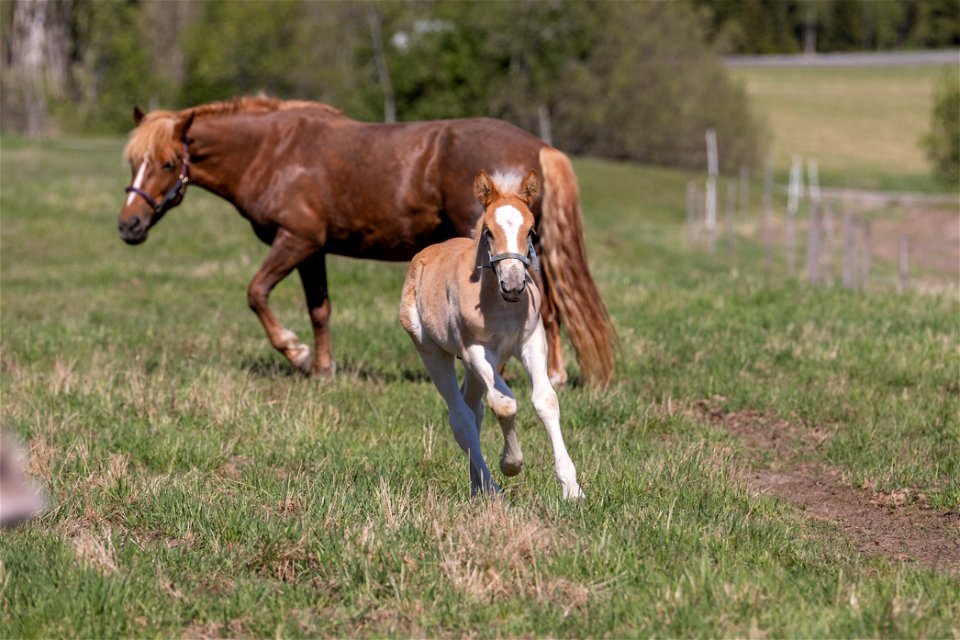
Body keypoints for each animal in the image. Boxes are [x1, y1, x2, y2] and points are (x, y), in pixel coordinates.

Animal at [118, 95, 616, 384]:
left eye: (167, 163)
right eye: (133, 162)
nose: (129, 226)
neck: (274, 151)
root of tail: (539, 147)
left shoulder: (294, 240)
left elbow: (256, 293)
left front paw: (296, 354)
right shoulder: (312, 249)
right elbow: (319, 309)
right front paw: (322, 369)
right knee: (550, 309)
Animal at [400, 170, 584, 500]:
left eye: (532, 231)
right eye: (488, 231)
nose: (513, 284)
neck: (501, 304)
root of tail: (424, 254)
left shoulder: (532, 341)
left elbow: (546, 400)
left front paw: (571, 487)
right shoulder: (476, 349)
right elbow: (505, 403)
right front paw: (511, 464)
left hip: (476, 366)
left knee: (473, 410)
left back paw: (476, 486)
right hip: (433, 352)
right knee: (460, 417)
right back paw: (490, 487)